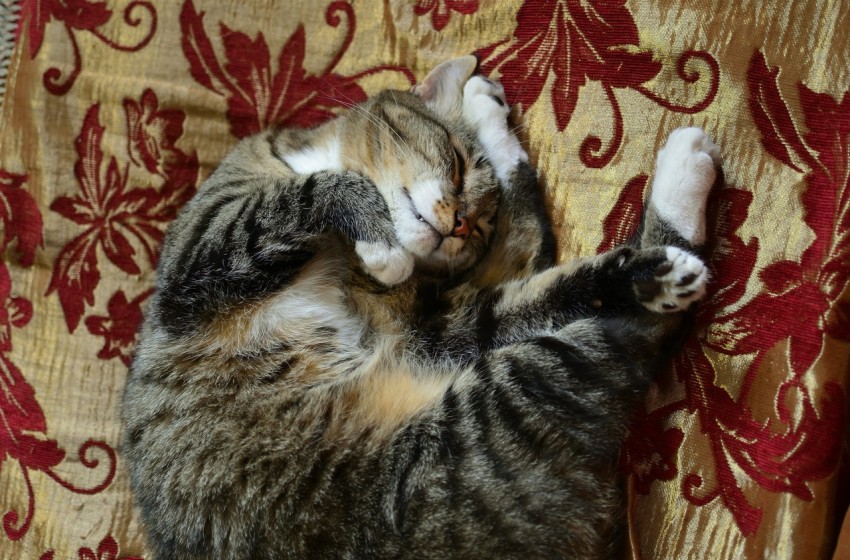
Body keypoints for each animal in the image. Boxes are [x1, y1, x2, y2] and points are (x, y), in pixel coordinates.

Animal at [122, 53, 720, 560]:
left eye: (478, 227)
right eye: (455, 164)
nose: (458, 224)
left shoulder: (434, 327)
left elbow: (527, 238)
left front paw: (485, 110)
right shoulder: (202, 251)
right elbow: (321, 189)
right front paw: (383, 234)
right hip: (481, 420)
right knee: (623, 331)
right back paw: (677, 200)